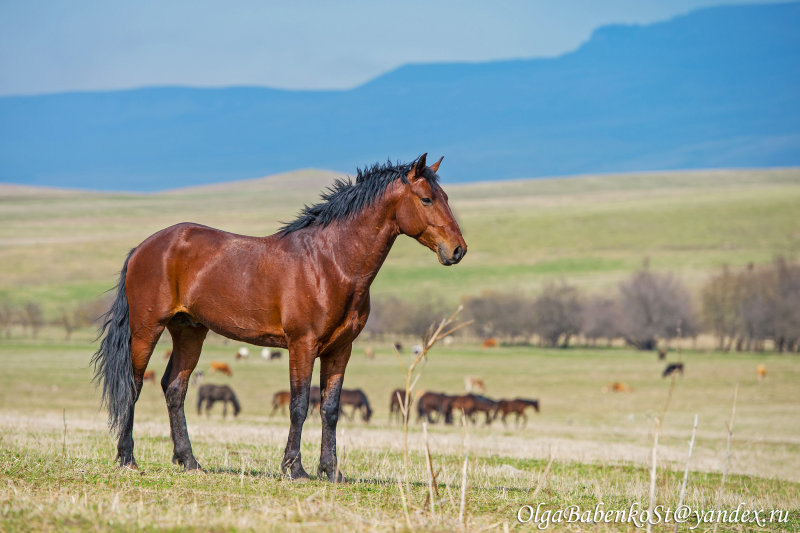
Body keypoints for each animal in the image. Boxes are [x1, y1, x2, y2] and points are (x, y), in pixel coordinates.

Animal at [90, 152, 466, 480]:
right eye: (426, 199)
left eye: (445, 196)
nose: (458, 250)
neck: (330, 263)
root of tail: (144, 247)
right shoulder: (302, 345)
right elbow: (298, 405)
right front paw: (294, 468)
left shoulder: (340, 350)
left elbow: (330, 409)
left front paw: (331, 471)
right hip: (146, 330)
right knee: (134, 385)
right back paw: (128, 458)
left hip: (190, 331)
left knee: (175, 388)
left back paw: (190, 461)